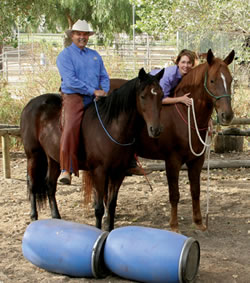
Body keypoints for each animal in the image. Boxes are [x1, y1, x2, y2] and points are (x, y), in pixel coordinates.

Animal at [21, 68, 164, 231]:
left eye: (161, 95)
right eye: (142, 96)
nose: (155, 129)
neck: (111, 127)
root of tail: (30, 104)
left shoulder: (118, 173)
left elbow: (111, 205)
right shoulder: (99, 172)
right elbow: (99, 208)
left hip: (53, 159)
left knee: (50, 185)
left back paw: (56, 217)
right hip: (33, 155)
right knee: (32, 184)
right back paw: (34, 217)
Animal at [110, 50, 235, 233]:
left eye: (230, 79)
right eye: (212, 80)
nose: (227, 115)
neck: (185, 115)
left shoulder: (196, 161)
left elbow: (195, 191)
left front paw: (198, 222)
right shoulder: (172, 161)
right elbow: (174, 194)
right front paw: (174, 226)